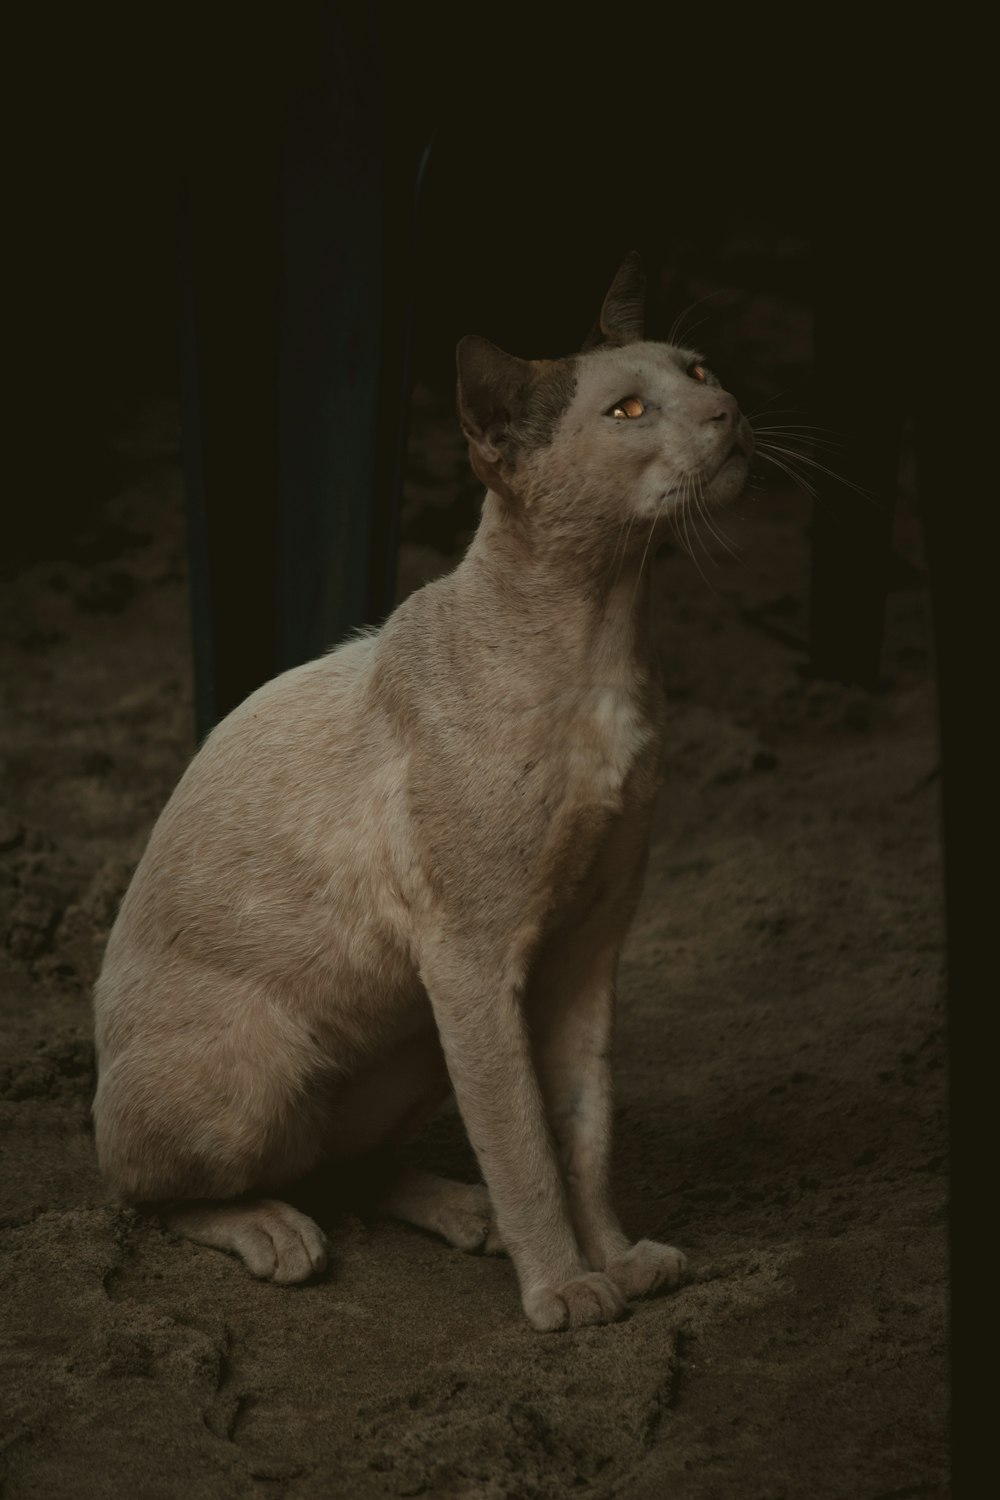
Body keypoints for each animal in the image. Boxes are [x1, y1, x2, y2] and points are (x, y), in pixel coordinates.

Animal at [91, 252, 749, 1332]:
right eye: (627, 411)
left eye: (698, 370)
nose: (731, 410)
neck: (605, 642)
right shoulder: (478, 959)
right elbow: (526, 1145)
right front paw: (567, 1291)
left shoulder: (585, 950)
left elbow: (583, 1131)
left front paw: (618, 1262)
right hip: (269, 1069)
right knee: (154, 1191)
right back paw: (283, 1236)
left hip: (414, 1039)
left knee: (337, 1168)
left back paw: (459, 1213)